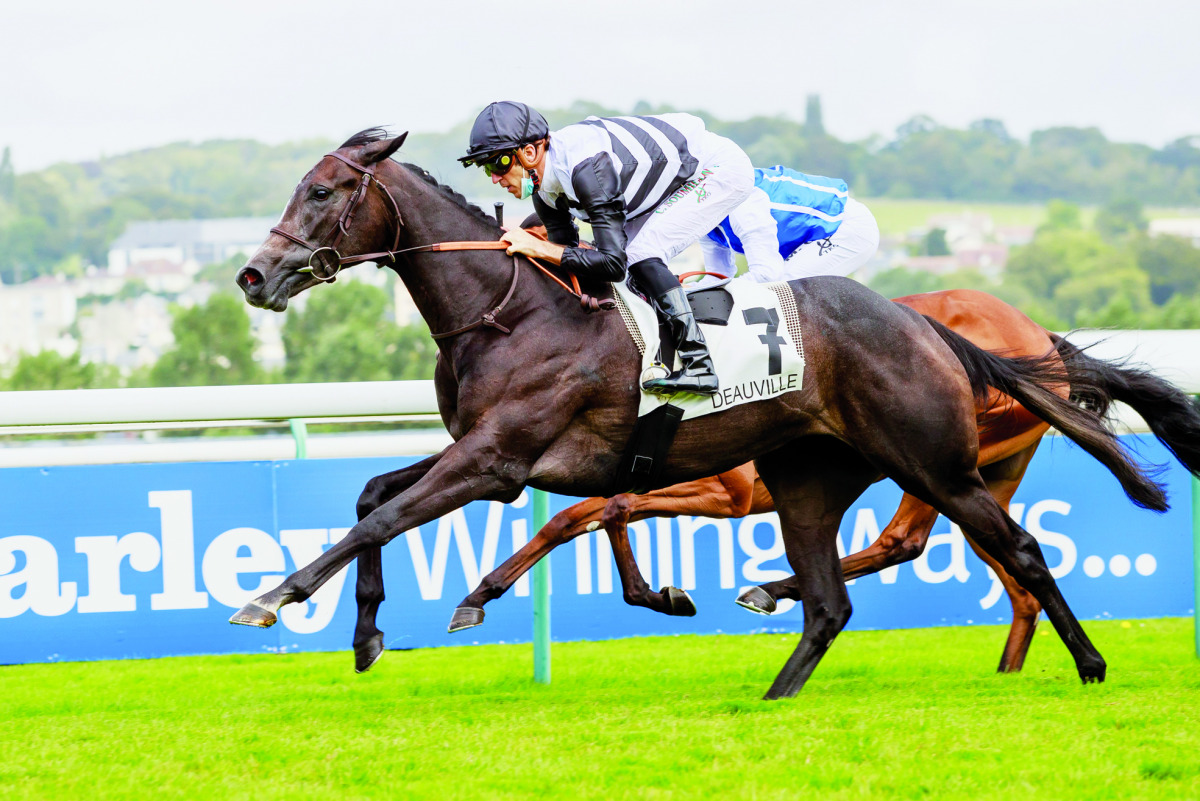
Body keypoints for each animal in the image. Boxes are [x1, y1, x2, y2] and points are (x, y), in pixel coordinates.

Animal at [229, 128, 1176, 695]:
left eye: (322, 192)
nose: (253, 275)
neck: (510, 310)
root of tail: (930, 325)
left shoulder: (499, 462)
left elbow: (386, 517)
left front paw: (275, 596)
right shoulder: (484, 453)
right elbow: (376, 498)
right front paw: (366, 631)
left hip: (934, 462)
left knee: (1014, 548)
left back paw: (1092, 664)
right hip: (815, 480)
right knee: (835, 598)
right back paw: (773, 689)